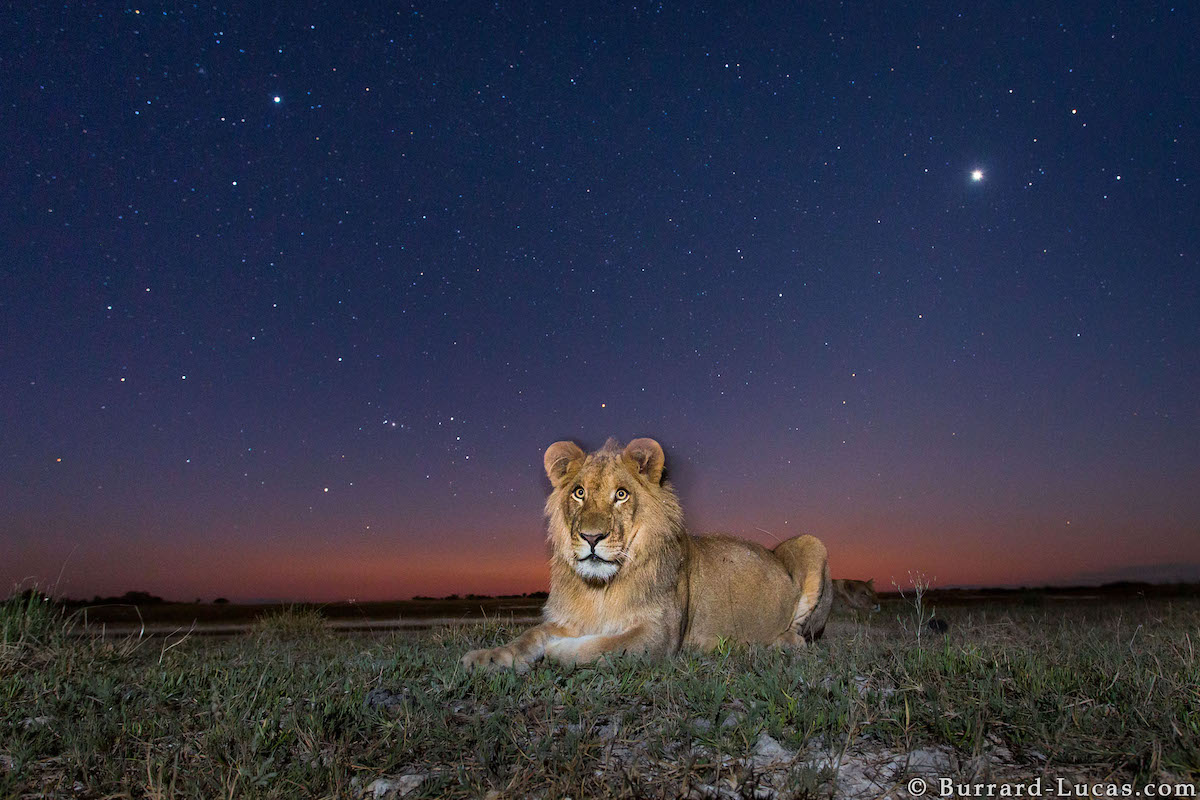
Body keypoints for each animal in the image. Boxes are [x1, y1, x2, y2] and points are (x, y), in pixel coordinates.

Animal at [460, 434, 835, 671]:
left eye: (621, 494)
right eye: (579, 492)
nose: (591, 537)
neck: (600, 589)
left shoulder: (659, 635)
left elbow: (603, 648)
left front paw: (557, 652)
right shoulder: (569, 619)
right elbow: (530, 635)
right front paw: (487, 658)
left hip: (812, 543)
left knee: (801, 637)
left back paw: (770, 644)